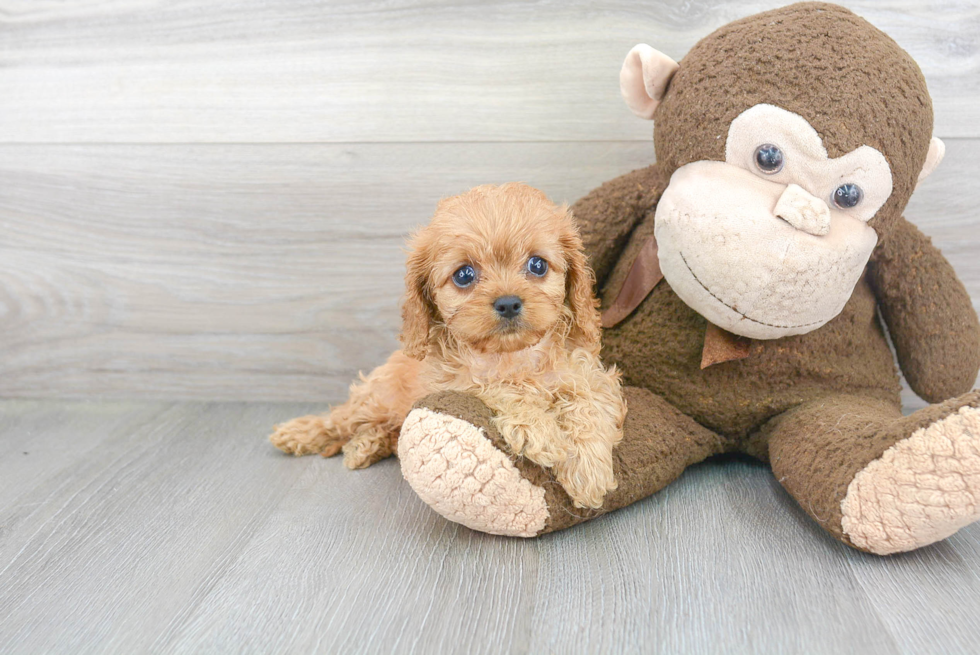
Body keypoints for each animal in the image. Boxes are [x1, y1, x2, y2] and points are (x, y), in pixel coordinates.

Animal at [272, 182, 628, 510]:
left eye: (537, 265)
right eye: (464, 274)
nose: (508, 303)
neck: (512, 356)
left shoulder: (591, 375)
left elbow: (588, 404)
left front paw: (588, 471)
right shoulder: (456, 383)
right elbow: (498, 387)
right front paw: (538, 429)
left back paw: (365, 445)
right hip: (377, 397)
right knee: (340, 419)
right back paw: (300, 433)